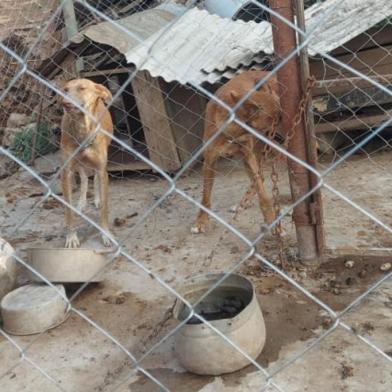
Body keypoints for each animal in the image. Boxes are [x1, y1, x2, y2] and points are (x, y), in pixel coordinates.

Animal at [60, 78, 113, 247]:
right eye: (65, 89)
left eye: (82, 88)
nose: (65, 103)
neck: (82, 128)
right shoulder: (66, 172)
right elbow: (68, 210)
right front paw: (71, 237)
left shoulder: (102, 170)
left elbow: (104, 208)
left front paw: (105, 234)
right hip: (78, 164)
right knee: (83, 177)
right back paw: (82, 203)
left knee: (94, 178)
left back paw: (96, 199)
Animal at [191, 70, 280, 234]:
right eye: (274, 120)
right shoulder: (210, 161)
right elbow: (205, 197)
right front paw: (201, 221)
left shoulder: (248, 156)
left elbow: (263, 195)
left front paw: (272, 221)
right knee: (260, 178)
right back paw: (243, 203)